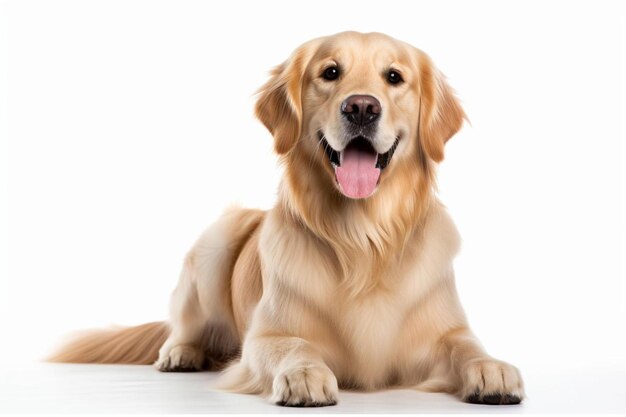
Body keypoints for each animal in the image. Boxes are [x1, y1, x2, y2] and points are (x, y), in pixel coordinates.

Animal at [51, 31, 524, 406]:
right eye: (330, 72)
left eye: (394, 77)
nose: (361, 108)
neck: (363, 238)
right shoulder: (263, 338)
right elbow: (293, 345)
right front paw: (304, 374)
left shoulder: (445, 330)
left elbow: (466, 344)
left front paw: (492, 367)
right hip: (215, 243)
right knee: (183, 324)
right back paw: (180, 352)